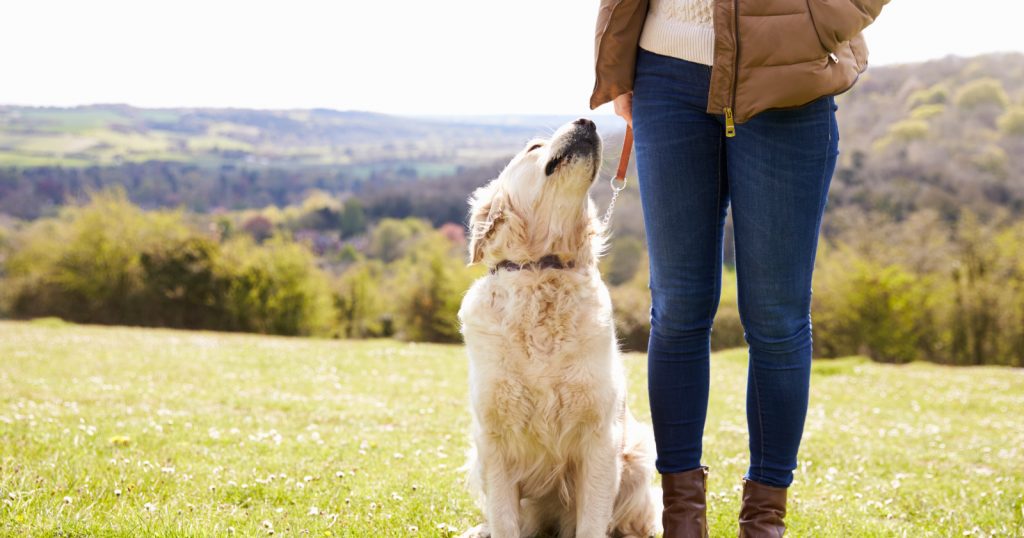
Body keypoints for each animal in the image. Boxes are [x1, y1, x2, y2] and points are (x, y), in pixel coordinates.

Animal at [460, 118, 659, 536]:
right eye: (534, 147)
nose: (588, 121)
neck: (543, 271)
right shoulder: (494, 440)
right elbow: (504, 520)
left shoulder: (601, 438)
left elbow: (592, 522)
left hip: (637, 455)